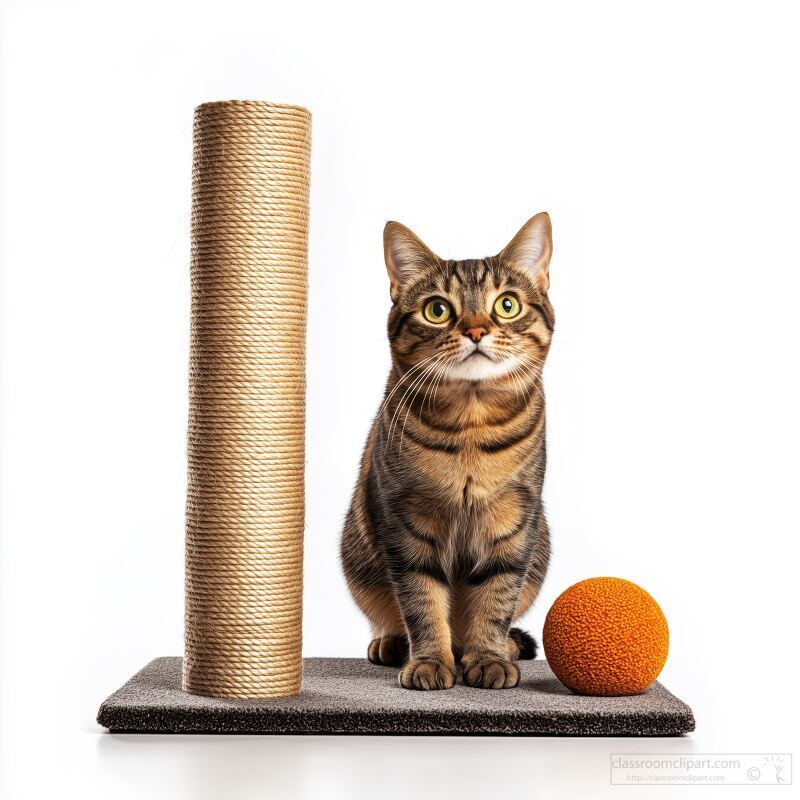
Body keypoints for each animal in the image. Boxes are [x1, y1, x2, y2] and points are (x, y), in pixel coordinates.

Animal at [340, 216, 552, 692]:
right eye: (437, 310)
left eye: (507, 305)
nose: (475, 330)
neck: (471, 425)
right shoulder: (407, 522)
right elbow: (422, 601)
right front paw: (430, 661)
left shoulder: (512, 522)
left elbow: (496, 598)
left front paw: (489, 657)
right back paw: (393, 643)